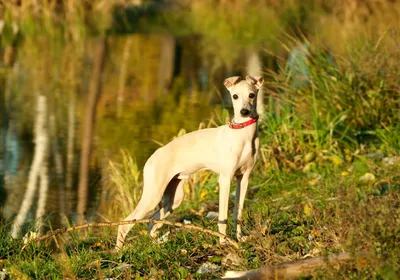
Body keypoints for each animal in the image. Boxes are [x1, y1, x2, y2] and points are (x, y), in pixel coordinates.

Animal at [115, 75, 264, 249]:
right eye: (235, 96)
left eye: (251, 95)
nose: (244, 112)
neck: (242, 134)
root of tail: (152, 157)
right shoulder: (225, 179)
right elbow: (223, 216)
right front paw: (223, 241)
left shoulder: (244, 178)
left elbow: (237, 213)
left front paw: (239, 239)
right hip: (153, 195)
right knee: (125, 223)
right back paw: (119, 252)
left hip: (173, 199)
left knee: (151, 223)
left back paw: (158, 244)